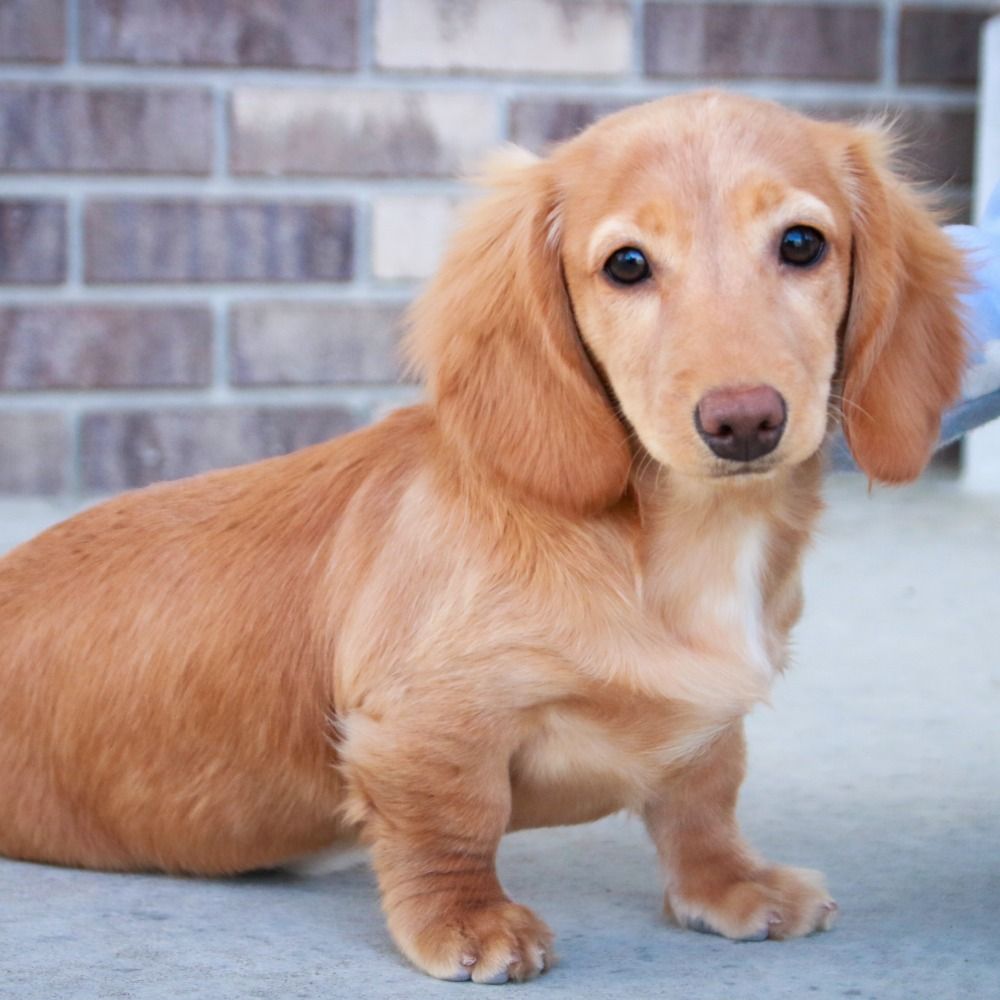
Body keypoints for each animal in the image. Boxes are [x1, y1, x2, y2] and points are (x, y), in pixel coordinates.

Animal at [1, 94, 968, 984]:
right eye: (626, 265)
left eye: (802, 244)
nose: (744, 422)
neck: (673, 541)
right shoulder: (423, 720)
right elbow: (455, 821)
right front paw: (469, 919)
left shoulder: (707, 727)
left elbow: (703, 797)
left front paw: (730, 883)